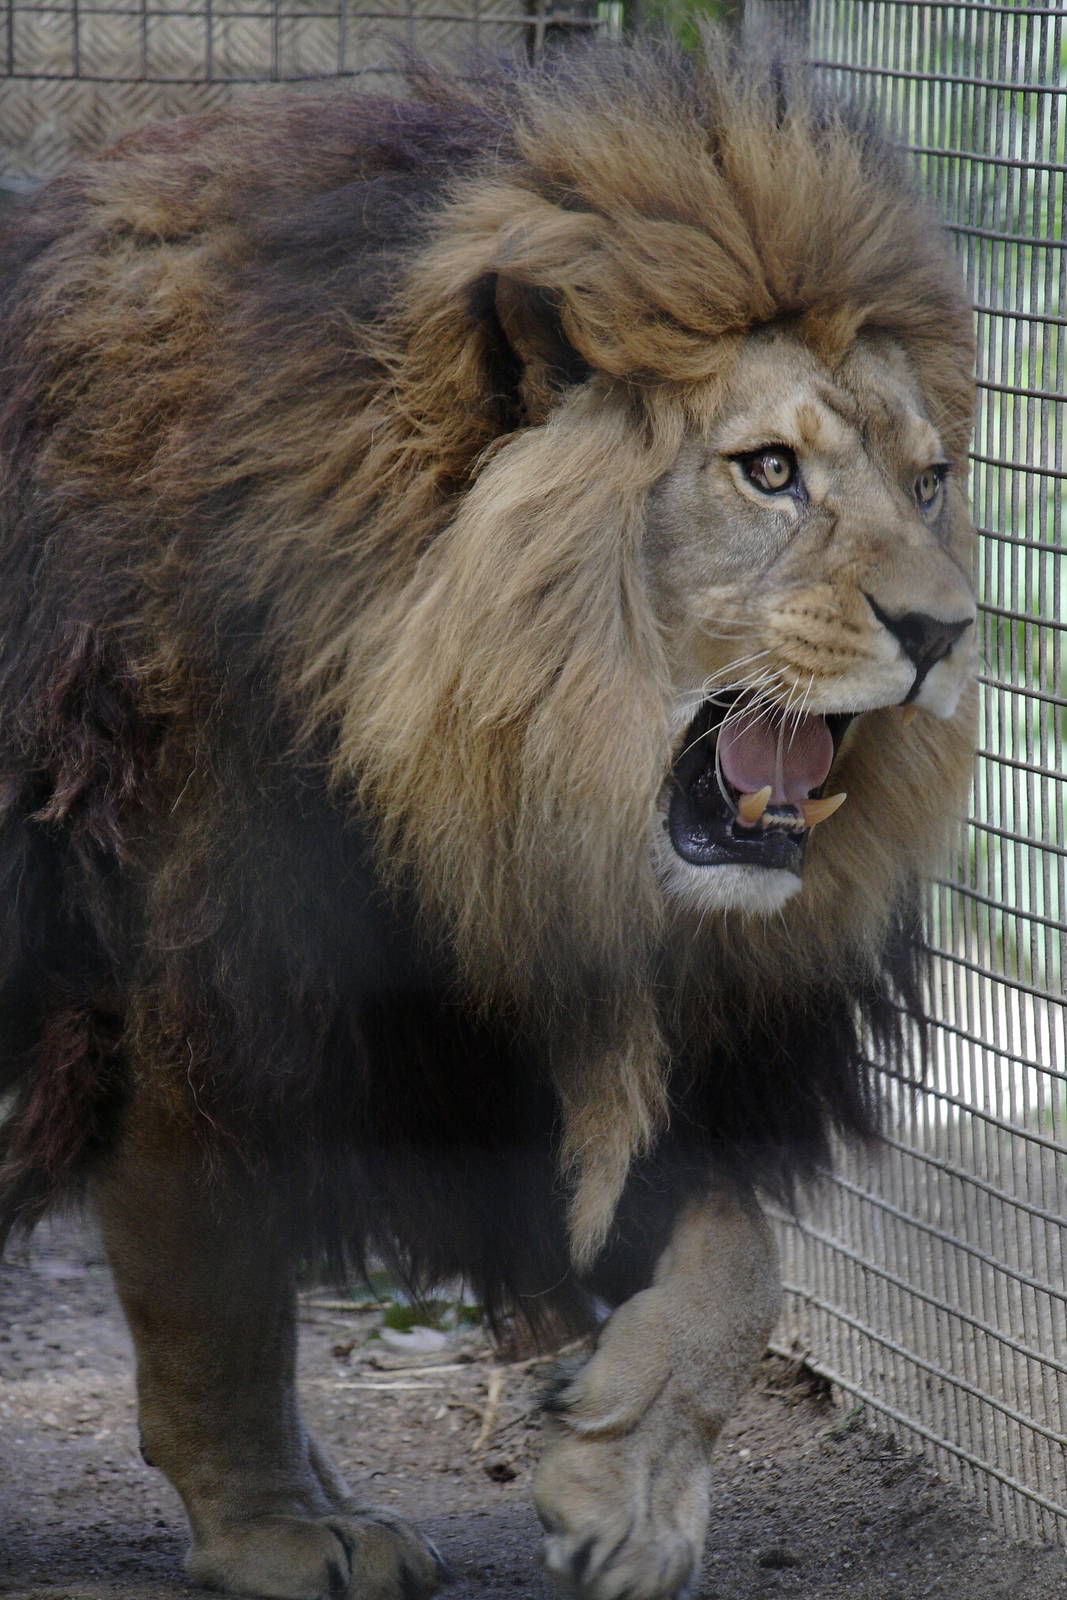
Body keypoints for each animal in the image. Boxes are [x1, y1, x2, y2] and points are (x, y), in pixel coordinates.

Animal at [0, 32, 976, 1600]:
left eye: (928, 479)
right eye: (767, 470)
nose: (944, 634)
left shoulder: (527, 1028)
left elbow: (740, 1257)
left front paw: (625, 1482)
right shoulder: (198, 988)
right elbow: (218, 1290)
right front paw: (276, 1527)